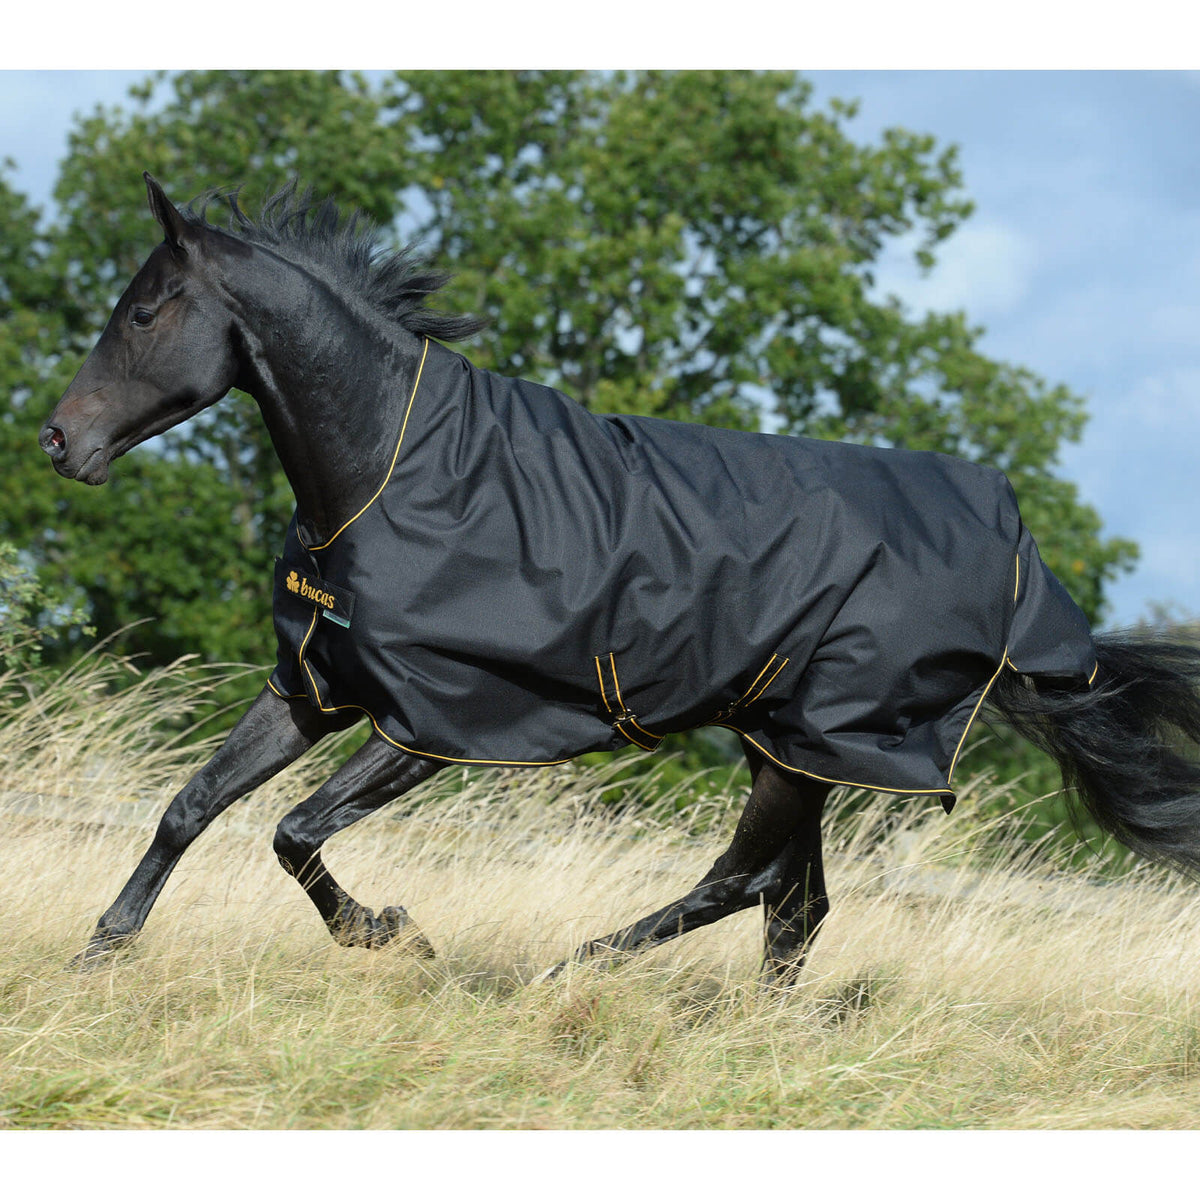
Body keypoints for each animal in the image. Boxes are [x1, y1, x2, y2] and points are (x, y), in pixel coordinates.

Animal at [41, 174, 1200, 983]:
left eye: (144, 311)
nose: (58, 441)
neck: (391, 467)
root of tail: (1013, 565)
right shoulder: (316, 687)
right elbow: (191, 805)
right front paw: (100, 951)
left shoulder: (435, 722)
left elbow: (293, 829)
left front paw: (393, 936)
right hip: (792, 745)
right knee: (792, 907)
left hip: (811, 747)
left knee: (743, 883)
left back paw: (565, 971)